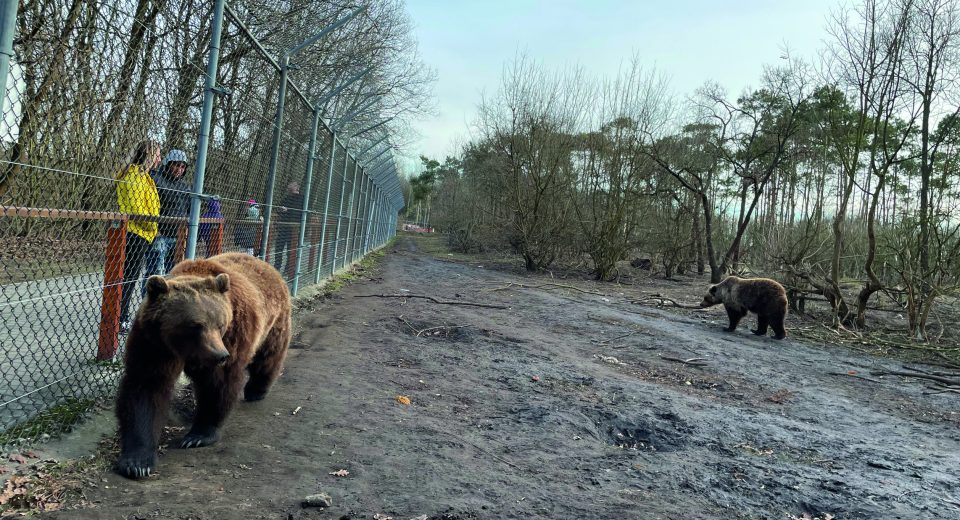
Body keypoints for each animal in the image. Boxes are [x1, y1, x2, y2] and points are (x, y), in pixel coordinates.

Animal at [114, 252, 291, 479]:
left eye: (220, 323)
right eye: (195, 325)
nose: (220, 355)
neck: (183, 349)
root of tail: (267, 265)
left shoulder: (233, 335)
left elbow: (218, 386)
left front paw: (197, 435)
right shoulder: (154, 343)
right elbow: (146, 388)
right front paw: (137, 462)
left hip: (274, 321)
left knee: (268, 356)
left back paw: (256, 390)